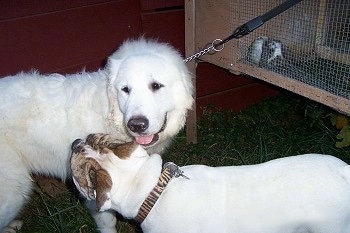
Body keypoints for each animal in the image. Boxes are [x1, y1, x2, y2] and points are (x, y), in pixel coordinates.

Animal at [0, 38, 191, 233]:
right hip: (13, 190)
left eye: (156, 86)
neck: (110, 114)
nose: (136, 125)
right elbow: (107, 220)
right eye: (125, 89)